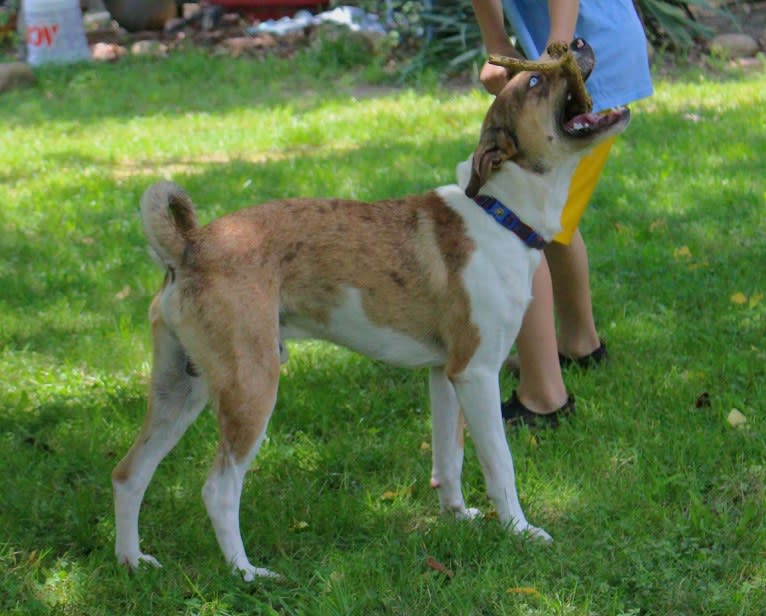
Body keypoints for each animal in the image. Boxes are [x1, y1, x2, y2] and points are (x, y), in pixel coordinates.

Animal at [114, 41, 632, 580]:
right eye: (533, 81)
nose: (575, 43)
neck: (500, 213)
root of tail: (189, 246)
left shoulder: (445, 374)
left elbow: (449, 459)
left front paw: (457, 517)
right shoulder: (477, 373)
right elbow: (500, 464)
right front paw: (518, 531)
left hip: (182, 389)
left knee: (129, 473)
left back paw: (133, 561)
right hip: (251, 387)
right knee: (218, 489)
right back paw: (248, 574)